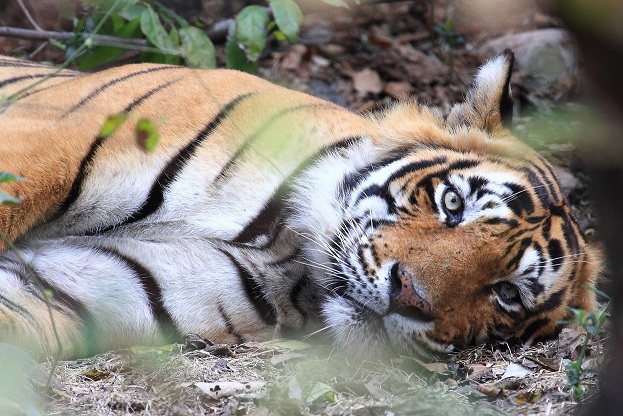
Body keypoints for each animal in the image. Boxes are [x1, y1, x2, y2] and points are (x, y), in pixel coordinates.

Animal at [0, 52, 600, 360]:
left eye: (506, 294)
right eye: (453, 203)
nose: (408, 298)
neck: (285, 248)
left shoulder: (91, 285)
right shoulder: (50, 141)